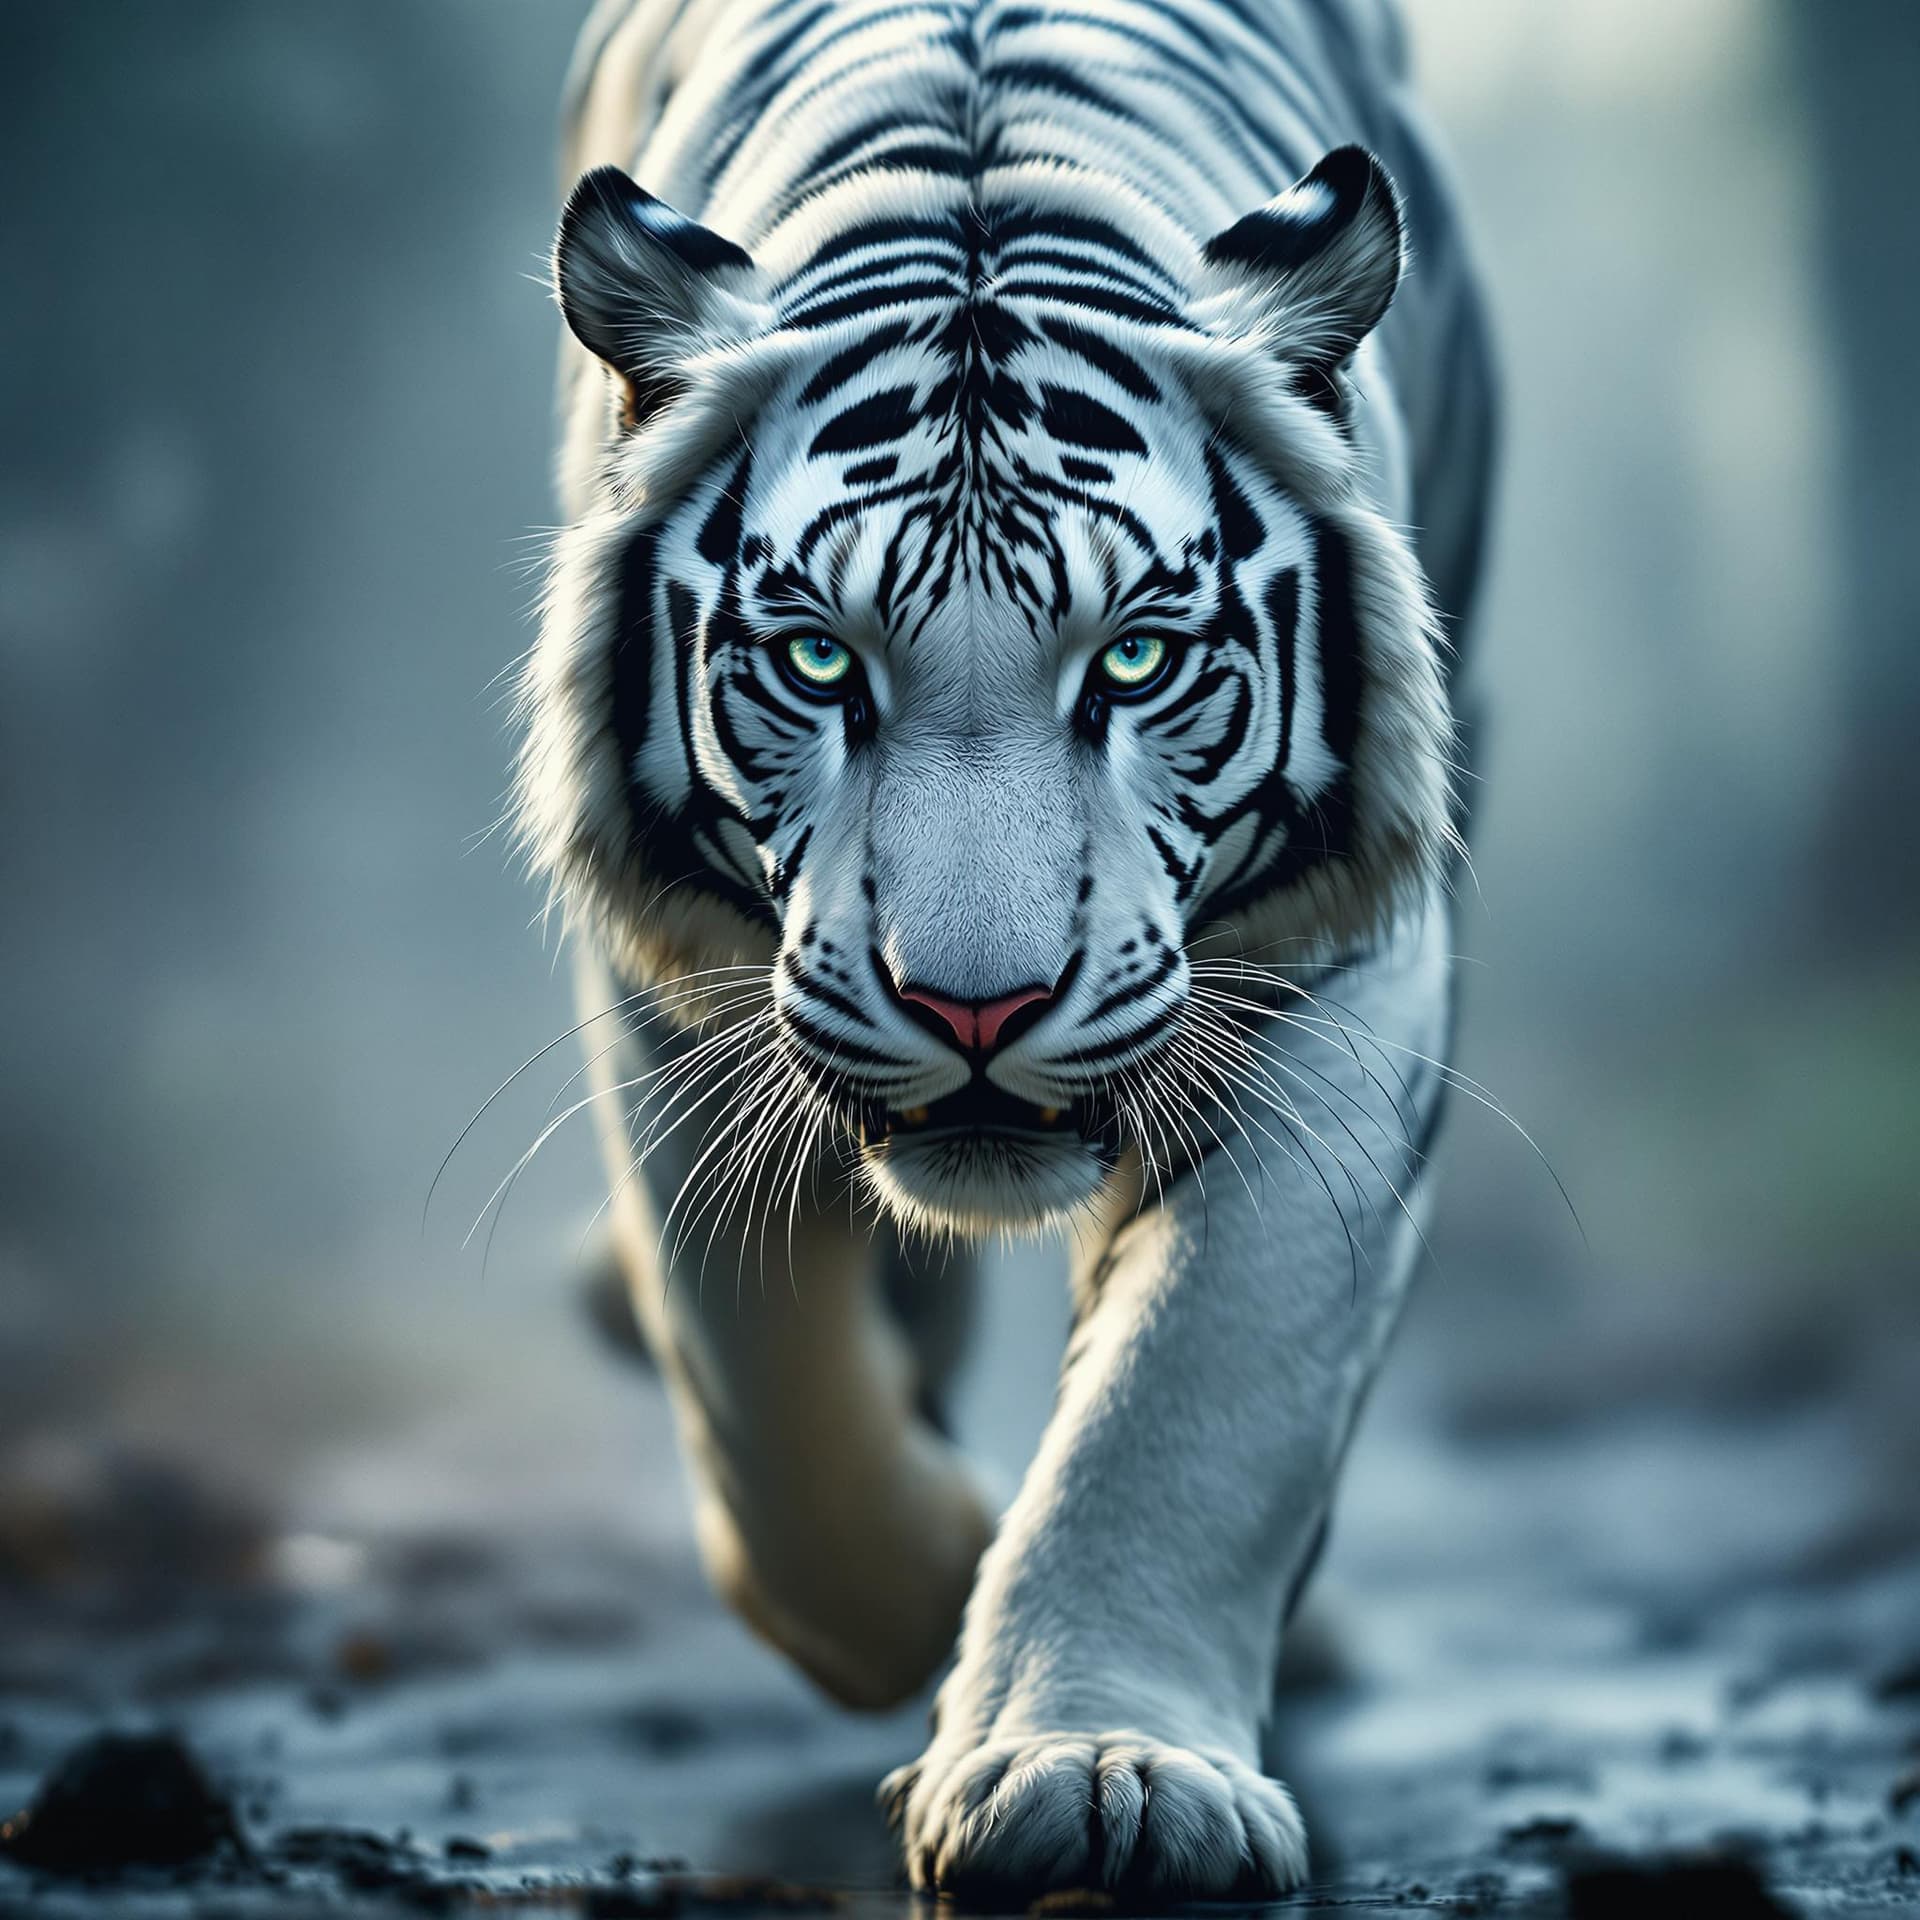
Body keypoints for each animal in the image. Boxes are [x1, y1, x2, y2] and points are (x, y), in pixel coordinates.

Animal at [514, 0, 1495, 1896]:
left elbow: (1202, 1383)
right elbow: (776, 1417)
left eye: (1136, 661)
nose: (978, 1008)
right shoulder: (677, 994)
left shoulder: (1345, 971)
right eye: (818, 661)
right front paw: (940, 1579)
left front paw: (1104, 1769)